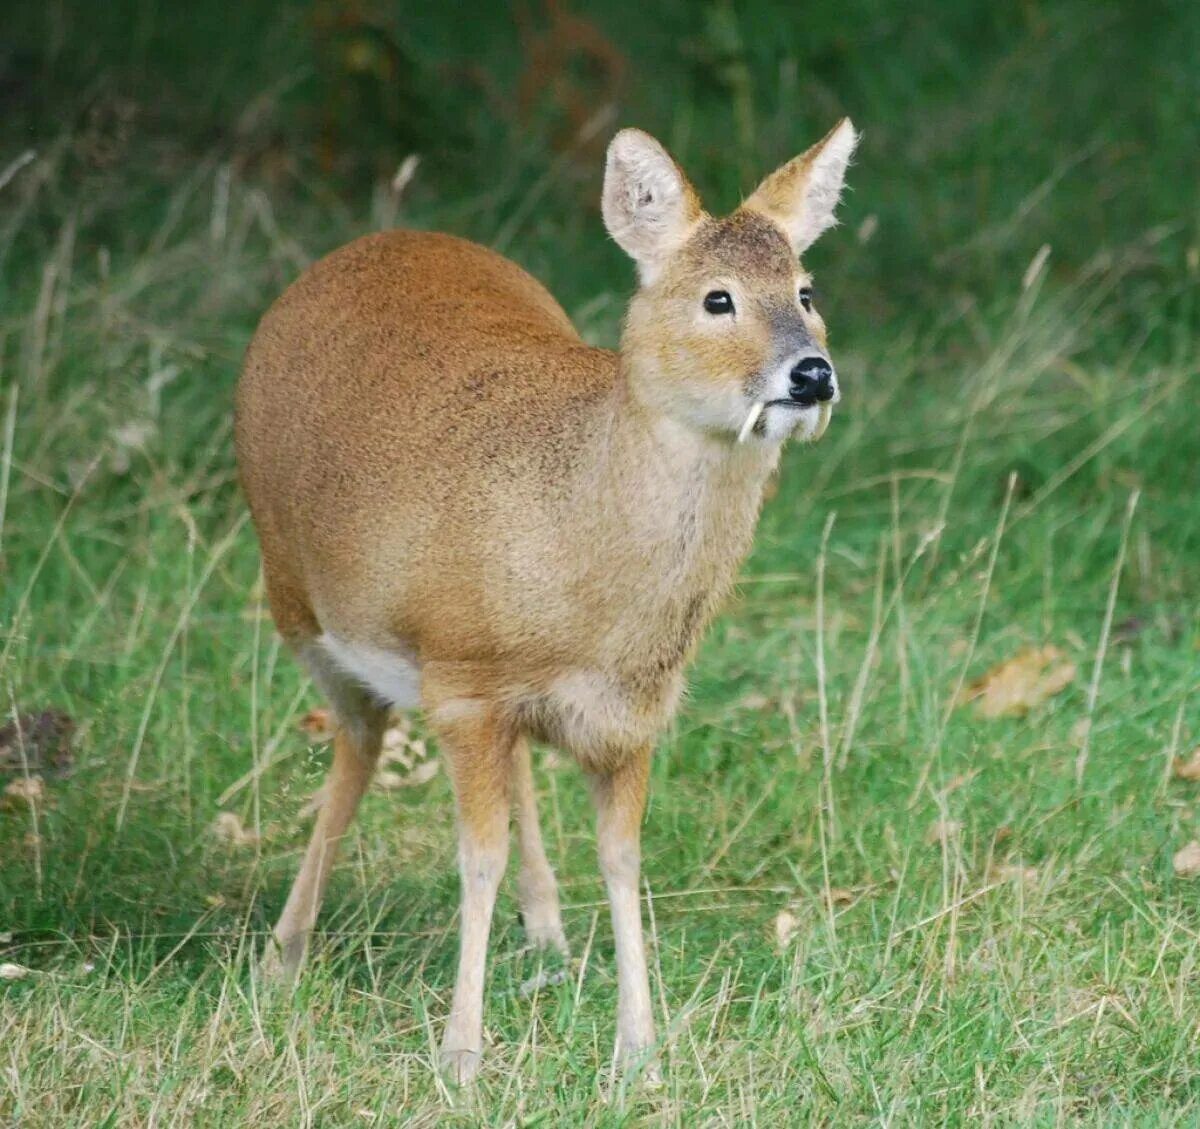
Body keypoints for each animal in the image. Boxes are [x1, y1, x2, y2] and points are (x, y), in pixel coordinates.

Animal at [231, 118, 854, 1079]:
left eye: (806, 288)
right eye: (717, 299)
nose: (812, 374)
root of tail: (367, 243)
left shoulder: (631, 712)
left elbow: (624, 858)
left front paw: (639, 1050)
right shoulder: (461, 678)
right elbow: (473, 859)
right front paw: (460, 1054)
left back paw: (548, 932)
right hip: (297, 599)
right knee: (357, 745)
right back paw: (284, 952)